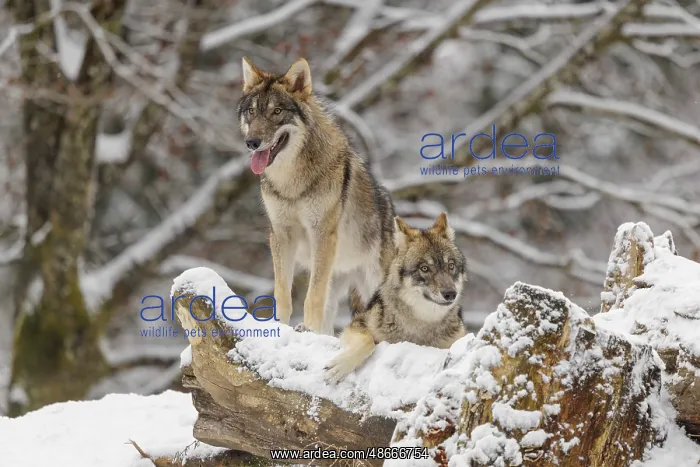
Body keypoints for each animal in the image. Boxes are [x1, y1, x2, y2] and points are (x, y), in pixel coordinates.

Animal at [237, 57, 396, 335]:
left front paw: (307, 328)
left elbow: (312, 296)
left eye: (277, 111)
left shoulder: (321, 233)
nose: (252, 142)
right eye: (252, 112)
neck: (292, 183)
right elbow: (282, 293)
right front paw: (280, 327)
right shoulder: (280, 234)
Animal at [325, 212, 468, 383]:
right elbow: (368, 341)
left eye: (450, 265)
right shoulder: (357, 324)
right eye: (424, 268)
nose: (450, 293)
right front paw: (340, 366)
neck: (422, 325)